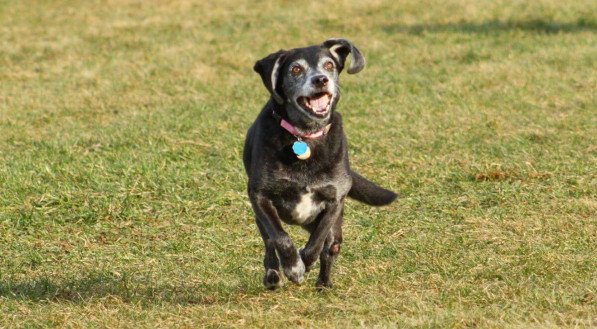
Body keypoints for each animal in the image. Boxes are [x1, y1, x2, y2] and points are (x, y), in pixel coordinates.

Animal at [242, 38, 396, 288]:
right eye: (295, 69)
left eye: (329, 65)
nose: (320, 79)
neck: (305, 136)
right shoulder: (260, 196)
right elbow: (280, 238)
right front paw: (293, 267)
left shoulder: (335, 200)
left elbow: (317, 241)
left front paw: (304, 262)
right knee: (269, 243)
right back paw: (273, 274)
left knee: (330, 247)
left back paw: (323, 284)